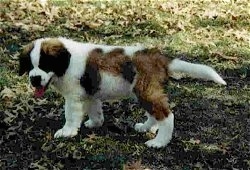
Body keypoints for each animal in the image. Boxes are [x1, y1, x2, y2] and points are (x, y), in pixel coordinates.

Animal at [18, 37, 227, 147]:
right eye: (29, 66)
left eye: (45, 65)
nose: (34, 78)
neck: (65, 64)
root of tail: (157, 57)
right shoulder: (90, 93)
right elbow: (95, 109)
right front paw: (95, 123)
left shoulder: (73, 97)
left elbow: (70, 115)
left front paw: (66, 132)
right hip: (145, 92)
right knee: (154, 114)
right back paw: (146, 127)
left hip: (145, 91)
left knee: (167, 116)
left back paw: (159, 142)